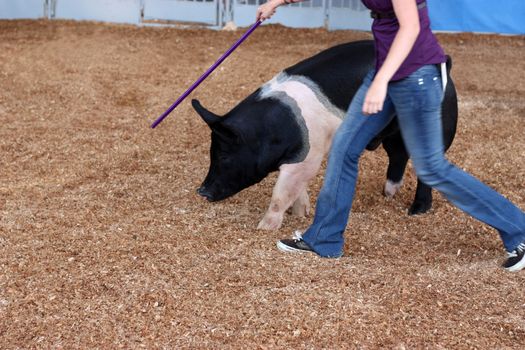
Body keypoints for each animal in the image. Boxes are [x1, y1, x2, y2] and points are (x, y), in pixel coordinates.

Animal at [190, 39, 456, 230]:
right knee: (398, 155)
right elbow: (297, 189)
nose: (202, 192)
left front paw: (263, 228)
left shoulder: (309, 153)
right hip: (393, 134)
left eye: (224, 156)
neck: (270, 130)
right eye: (211, 153)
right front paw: (302, 214)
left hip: (438, 126)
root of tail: (445, 64)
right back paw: (388, 194)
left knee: (426, 168)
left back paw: (416, 210)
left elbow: (281, 192)